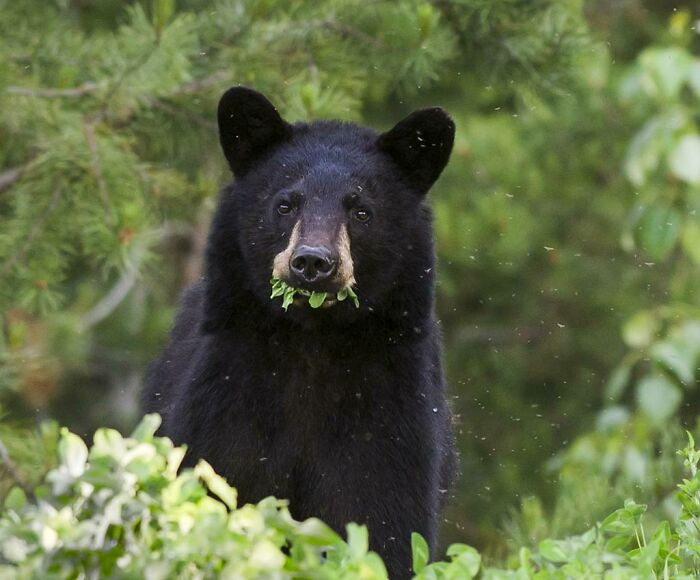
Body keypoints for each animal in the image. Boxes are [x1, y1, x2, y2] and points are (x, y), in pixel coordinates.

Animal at [143, 86, 456, 579]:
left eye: (361, 210)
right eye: (285, 203)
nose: (312, 261)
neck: (314, 341)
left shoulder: (389, 408)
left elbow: (383, 518)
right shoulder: (228, 392)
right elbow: (215, 482)